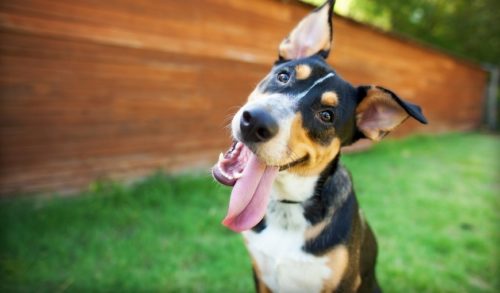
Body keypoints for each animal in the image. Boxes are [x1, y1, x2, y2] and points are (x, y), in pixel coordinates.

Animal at [211, 1, 426, 290]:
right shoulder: (260, 273)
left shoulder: (344, 283)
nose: (254, 122)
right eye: (283, 76)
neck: (288, 207)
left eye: (326, 115)